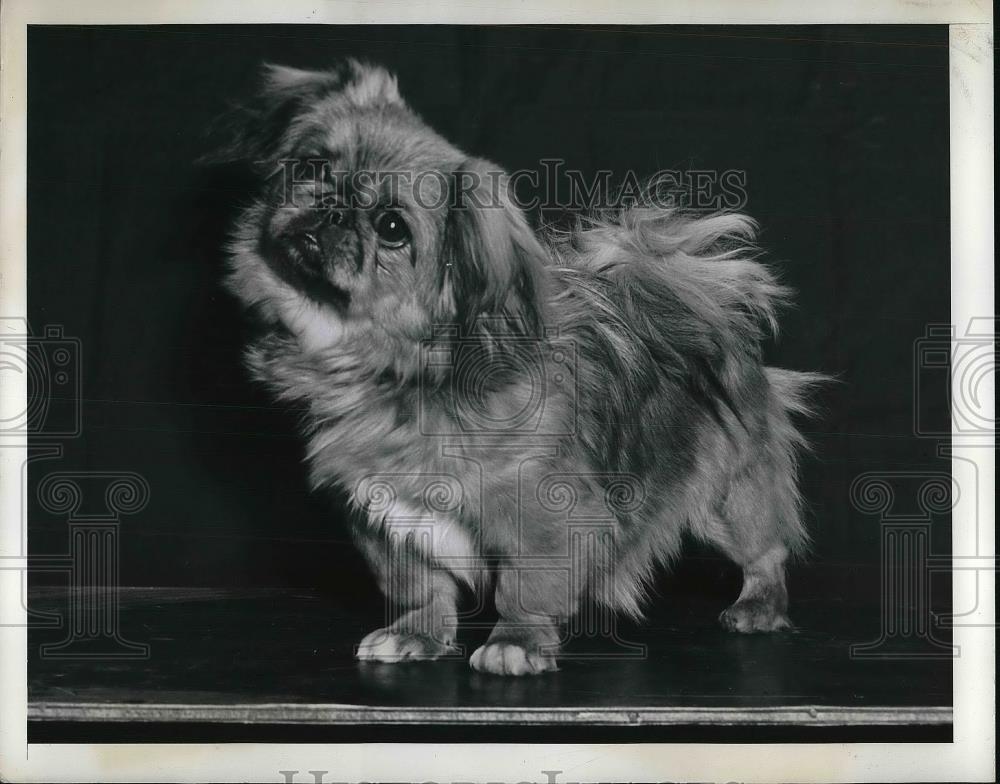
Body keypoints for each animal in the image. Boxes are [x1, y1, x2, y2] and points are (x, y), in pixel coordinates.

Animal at [215, 59, 824, 672]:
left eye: (392, 228)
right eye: (312, 165)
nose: (335, 204)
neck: (396, 373)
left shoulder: (543, 513)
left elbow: (524, 588)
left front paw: (517, 643)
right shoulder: (386, 521)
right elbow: (421, 587)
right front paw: (417, 635)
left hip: (731, 494)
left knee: (766, 551)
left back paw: (758, 607)